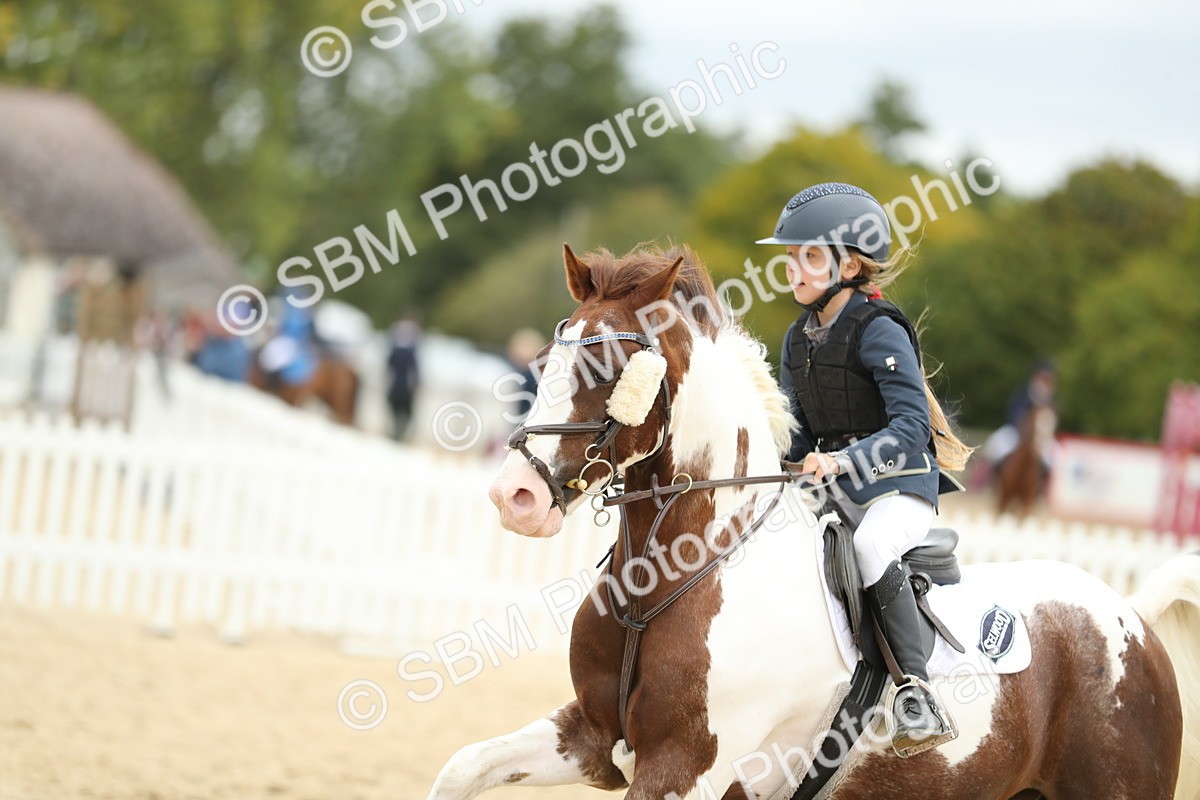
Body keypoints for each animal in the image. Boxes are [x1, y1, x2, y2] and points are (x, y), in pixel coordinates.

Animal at [428, 243, 1199, 800]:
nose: (515, 496)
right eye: (546, 358)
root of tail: (1132, 619)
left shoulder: (683, 769)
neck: (673, 575)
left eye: (614, 367)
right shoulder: (589, 734)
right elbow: (462, 767)